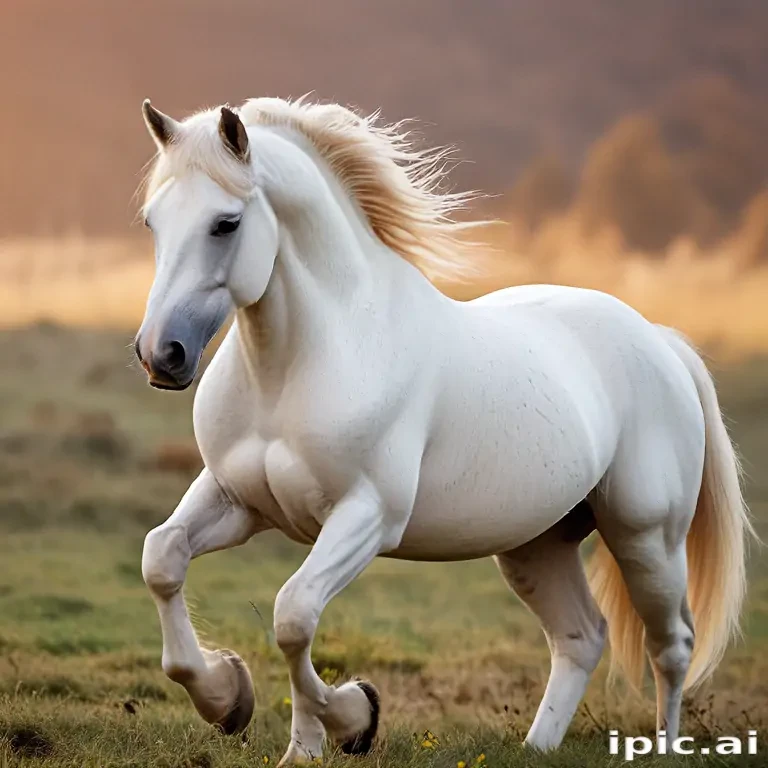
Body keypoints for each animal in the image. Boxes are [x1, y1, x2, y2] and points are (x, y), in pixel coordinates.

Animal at [134, 96, 753, 765]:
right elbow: (162, 559)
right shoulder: (236, 499)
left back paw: (661, 748)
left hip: (647, 537)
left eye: (225, 224)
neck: (300, 364)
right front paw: (233, 702)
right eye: (152, 222)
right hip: (536, 545)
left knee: (673, 644)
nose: (160, 355)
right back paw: (536, 747)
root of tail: (659, 340)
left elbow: (293, 615)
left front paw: (352, 720)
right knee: (582, 636)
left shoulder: (366, 517)